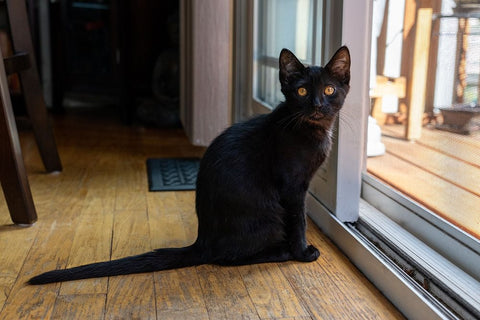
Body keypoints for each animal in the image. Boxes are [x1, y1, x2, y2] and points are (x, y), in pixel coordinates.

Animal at [31, 45, 352, 284]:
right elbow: (299, 221)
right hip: (268, 215)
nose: (317, 105)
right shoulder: (293, 188)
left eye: (329, 90)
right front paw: (302, 252)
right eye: (301, 92)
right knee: (226, 258)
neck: (311, 131)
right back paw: (281, 251)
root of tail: (202, 240)